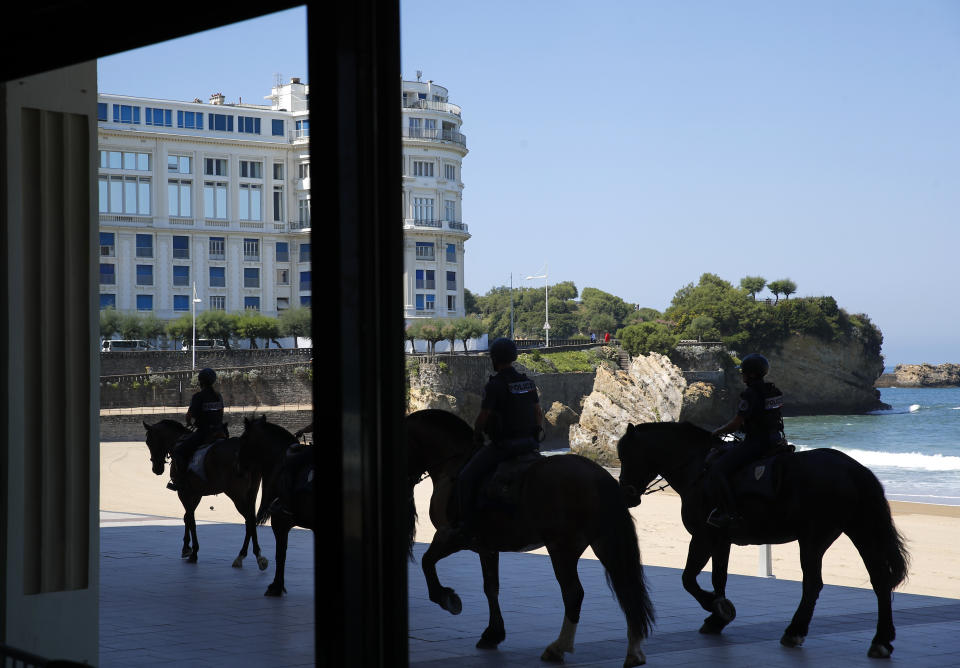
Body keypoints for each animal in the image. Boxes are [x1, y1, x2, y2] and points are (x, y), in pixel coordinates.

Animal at [141, 418, 266, 568]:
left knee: (249, 520)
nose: (156, 468)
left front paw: (193, 551)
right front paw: (187, 548)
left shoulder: (184, 492)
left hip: (237, 495)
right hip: (251, 494)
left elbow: (190, 518)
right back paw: (247, 555)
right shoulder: (196, 493)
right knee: (250, 520)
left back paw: (251, 555)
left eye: (149, 442)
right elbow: (187, 517)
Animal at [404, 410, 652, 664]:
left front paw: (446, 598)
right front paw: (493, 633)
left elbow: (427, 562)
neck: (454, 465)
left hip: (561, 548)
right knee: (627, 589)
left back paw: (558, 647)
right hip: (603, 543)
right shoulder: (487, 547)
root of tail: (599, 477)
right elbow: (491, 587)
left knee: (573, 593)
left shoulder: (450, 536)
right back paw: (633, 650)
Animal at [616, 422, 908, 656]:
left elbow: (688, 579)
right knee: (879, 581)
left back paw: (795, 630)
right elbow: (718, 578)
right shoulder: (720, 540)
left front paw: (715, 607)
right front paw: (718, 616)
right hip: (860, 532)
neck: (698, 468)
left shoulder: (702, 537)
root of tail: (853, 470)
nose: (626, 495)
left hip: (814, 539)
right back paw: (881, 640)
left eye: (626, 455)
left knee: (813, 584)